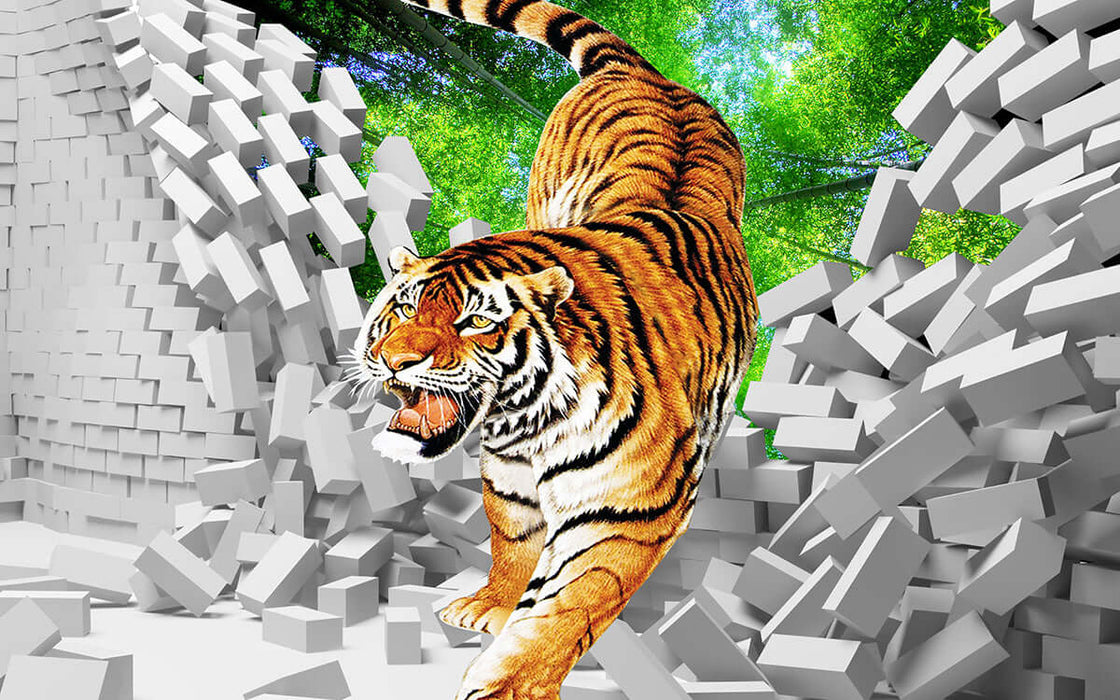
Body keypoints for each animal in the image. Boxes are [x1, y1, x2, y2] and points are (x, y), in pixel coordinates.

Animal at [349, 1, 759, 697]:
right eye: (403, 310)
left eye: (472, 323)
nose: (397, 361)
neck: (527, 419)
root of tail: (652, 74)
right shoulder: (508, 479)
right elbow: (512, 544)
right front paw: (489, 608)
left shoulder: (631, 505)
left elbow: (572, 602)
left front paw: (509, 682)